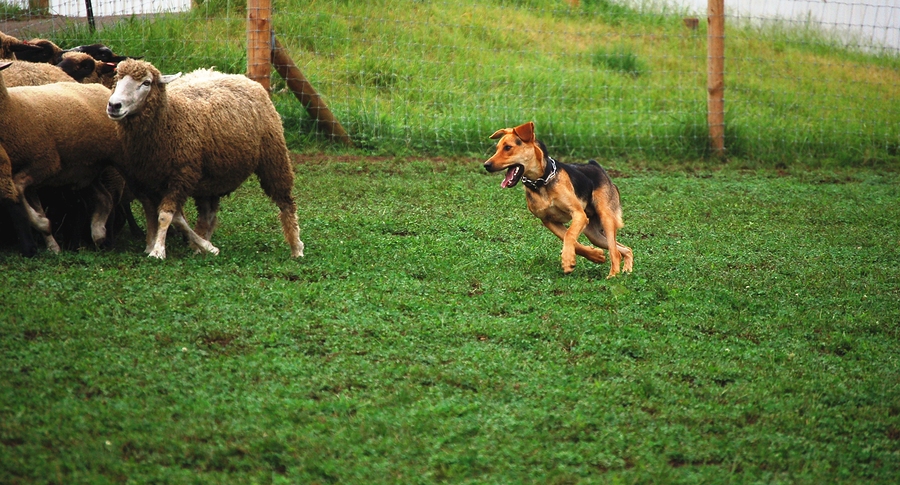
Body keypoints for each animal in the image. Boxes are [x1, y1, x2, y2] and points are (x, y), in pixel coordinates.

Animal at [0, 59, 121, 253]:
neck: (13, 107)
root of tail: (102, 88)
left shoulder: (46, 163)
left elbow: (19, 191)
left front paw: (42, 225)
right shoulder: (29, 177)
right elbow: (32, 204)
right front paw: (52, 244)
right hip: (86, 170)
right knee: (105, 199)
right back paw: (98, 233)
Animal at [107, 58, 304, 260]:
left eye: (146, 83)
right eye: (118, 79)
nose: (114, 105)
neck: (171, 117)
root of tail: (239, 77)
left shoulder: (181, 176)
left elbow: (166, 215)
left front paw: (158, 250)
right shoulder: (143, 181)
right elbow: (158, 214)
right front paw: (152, 244)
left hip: (273, 157)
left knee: (286, 202)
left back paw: (296, 246)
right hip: (211, 178)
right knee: (209, 213)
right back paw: (200, 245)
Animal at [486, 121, 632, 278]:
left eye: (508, 147)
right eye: (497, 148)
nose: (486, 165)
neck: (541, 182)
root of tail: (595, 166)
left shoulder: (579, 215)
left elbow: (569, 234)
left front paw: (567, 260)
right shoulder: (549, 221)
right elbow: (571, 240)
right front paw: (595, 255)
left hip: (606, 218)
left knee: (615, 252)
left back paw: (613, 275)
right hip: (593, 233)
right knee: (625, 249)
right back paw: (627, 269)